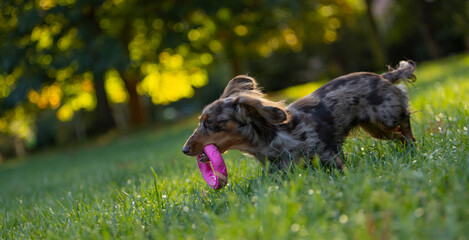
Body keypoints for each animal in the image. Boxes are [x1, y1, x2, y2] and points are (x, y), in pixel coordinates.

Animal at [181, 61, 414, 171]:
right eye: (201, 121)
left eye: (210, 122)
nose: (184, 150)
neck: (270, 139)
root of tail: (384, 76)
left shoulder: (325, 153)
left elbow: (339, 166)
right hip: (377, 129)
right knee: (398, 136)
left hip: (388, 117)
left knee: (405, 122)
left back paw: (413, 147)